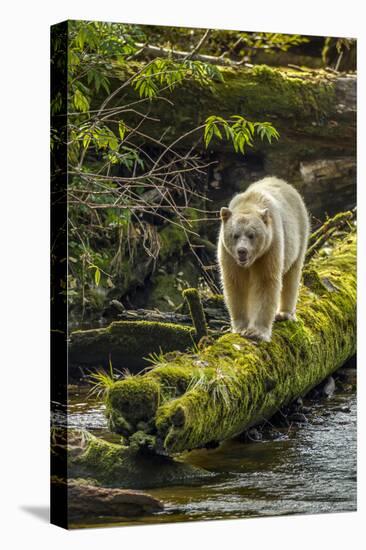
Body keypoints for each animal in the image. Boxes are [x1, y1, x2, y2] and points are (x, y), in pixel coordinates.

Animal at [219, 178, 310, 340]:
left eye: (251, 235)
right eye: (235, 235)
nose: (242, 251)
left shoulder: (269, 248)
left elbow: (266, 282)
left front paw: (257, 331)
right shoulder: (229, 255)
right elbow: (235, 284)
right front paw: (241, 327)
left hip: (298, 235)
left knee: (292, 275)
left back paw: (284, 313)